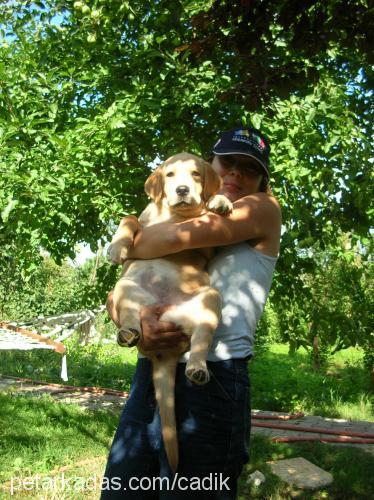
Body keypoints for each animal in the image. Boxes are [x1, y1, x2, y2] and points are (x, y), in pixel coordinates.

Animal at [106, 152, 232, 472]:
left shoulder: (209, 244)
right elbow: (129, 217)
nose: (183, 190)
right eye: (170, 175)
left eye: (196, 174)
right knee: (132, 318)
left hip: (210, 298)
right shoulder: (144, 219)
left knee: (201, 338)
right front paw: (117, 247)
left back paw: (198, 368)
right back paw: (127, 333)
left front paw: (221, 200)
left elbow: (209, 205)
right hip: (126, 286)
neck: (175, 217)